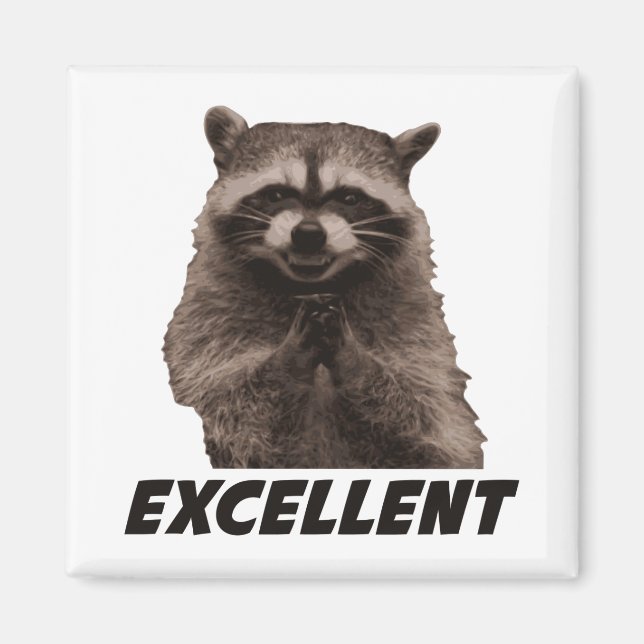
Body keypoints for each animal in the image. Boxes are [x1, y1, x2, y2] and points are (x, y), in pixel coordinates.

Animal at [163, 106, 486, 468]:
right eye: (275, 194)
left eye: (350, 197)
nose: (308, 234)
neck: (304, 287)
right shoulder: (207, 320)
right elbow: (228, 410)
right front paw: (287, 360)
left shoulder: (416, 326)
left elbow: (432, 426)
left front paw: (355, 359)